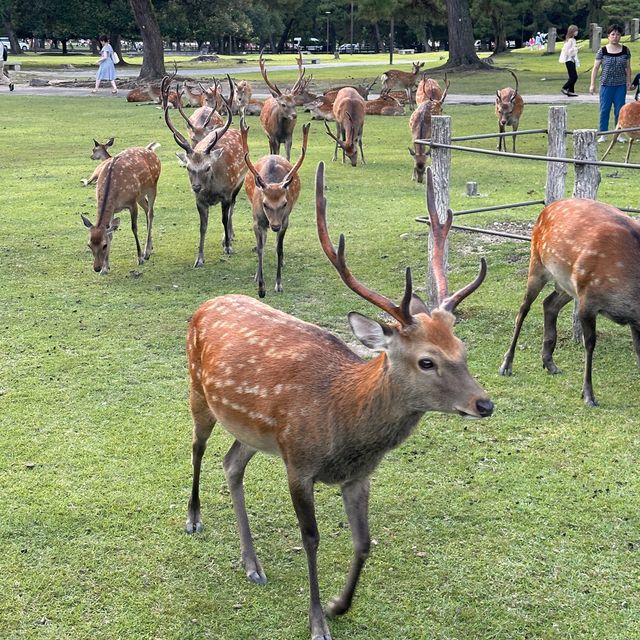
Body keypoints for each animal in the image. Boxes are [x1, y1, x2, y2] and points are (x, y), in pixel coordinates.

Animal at [80, 142, 161, 272]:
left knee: (150, 213)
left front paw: (140, 258)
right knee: (147, 208)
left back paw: (146, 252)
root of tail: (150, 149)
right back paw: (150, 247)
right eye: (89, 244)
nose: (97, 268)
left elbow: (134, 228)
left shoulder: (132, 203)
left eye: (104, 245)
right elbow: (110, 233)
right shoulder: (113, 209)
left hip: (153, 186)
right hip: (140, 195)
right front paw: (106, 268)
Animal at [162, 75, 248, 264]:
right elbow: (202, 227)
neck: (211, 190)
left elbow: (223, 219)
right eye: (188, 167)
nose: (196, 187)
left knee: (233, 207)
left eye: (208, 167)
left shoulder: (226, 193)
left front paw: (228, 247)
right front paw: (199, 258)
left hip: (240, 181)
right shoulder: (199, 200)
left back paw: (229, 236)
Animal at [185, 164, 496, 640]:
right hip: (197, 390)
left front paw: (339, 605)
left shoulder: (358, 475)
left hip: (253, 432)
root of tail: (205, 305)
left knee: (231, 463)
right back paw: (194, 518)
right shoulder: (298, 462)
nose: (484, 404)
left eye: (461, 349)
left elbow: (363, 542)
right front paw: (318, 621)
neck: (343, 425)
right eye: (427, 361)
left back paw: (252, 564)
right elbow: (311, 539)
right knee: (198, 447)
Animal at [240, 119, 310, 298]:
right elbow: (260, 249)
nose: (275, 226)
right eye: (265, 203)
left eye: (284, 203)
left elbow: (278, 248)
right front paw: (260, 285)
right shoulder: (257, 221)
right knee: (263, 242)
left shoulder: (285, 221)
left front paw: (279, 284)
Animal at [500, 198, 640, 404]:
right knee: (523, 310)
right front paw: (588, 394)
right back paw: (507, 364)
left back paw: (549, 362)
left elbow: (638, 351)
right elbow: (590, 343)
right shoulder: (588, 299)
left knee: (549, 303)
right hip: (538, 262)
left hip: (567, 283)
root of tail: (547, 207)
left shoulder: (634, 320)